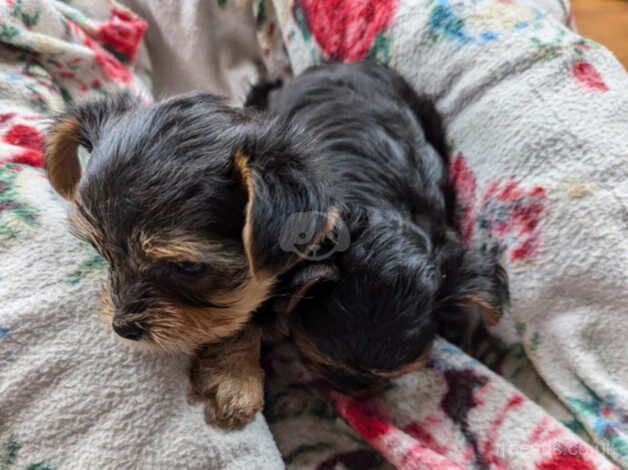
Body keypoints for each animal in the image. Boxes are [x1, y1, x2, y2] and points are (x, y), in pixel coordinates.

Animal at [44, 92, 338, 430]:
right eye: (103, 252)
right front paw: (234, 374)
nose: (122, 327)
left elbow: (252, 313)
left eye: (188, 267)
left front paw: (233, 377)